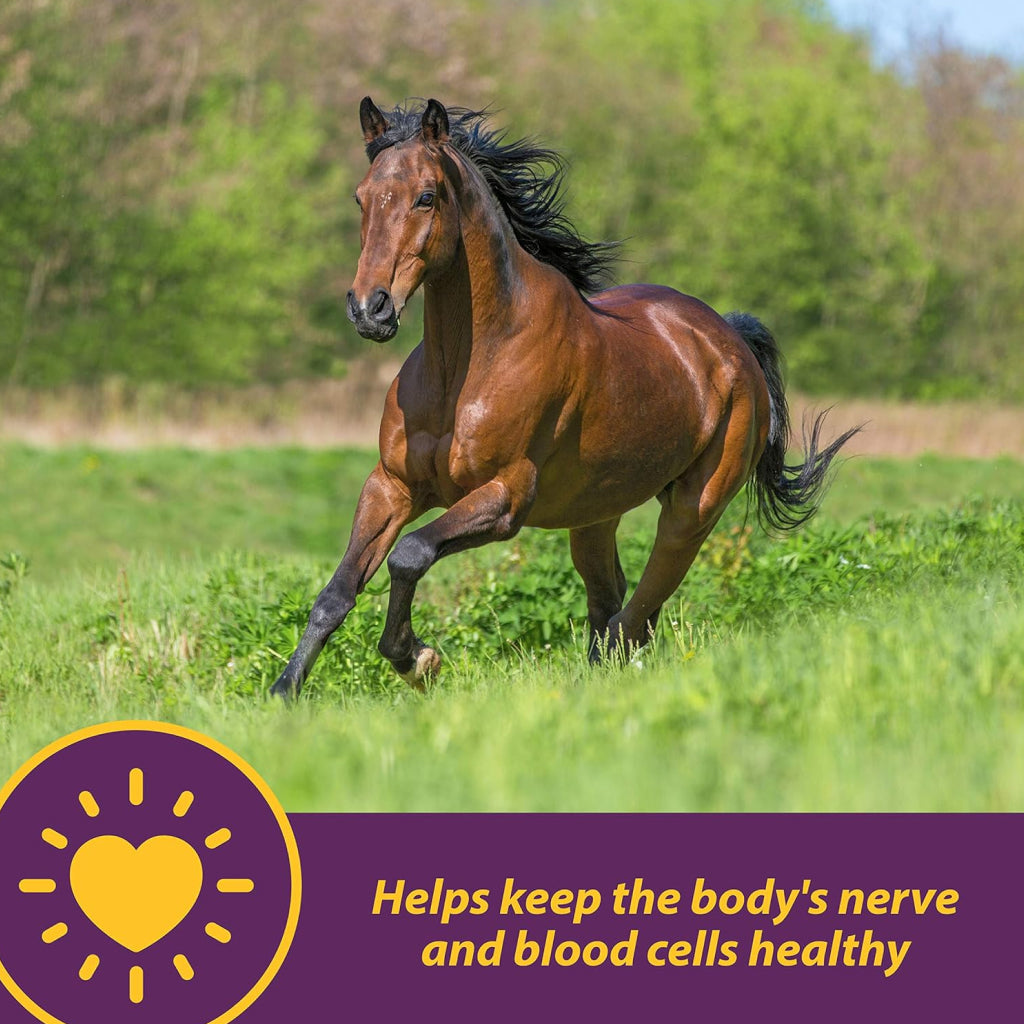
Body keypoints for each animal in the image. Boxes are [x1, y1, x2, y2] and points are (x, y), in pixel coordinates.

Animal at [270, 97, 858, 697]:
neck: (466, 369)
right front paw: (284, 692)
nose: (370, 308)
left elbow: (410, 554)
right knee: (612, 599)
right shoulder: (392, 486)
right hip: (595, 513)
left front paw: (418, 658)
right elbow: (336, 593)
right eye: (361, 197)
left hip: (693, 510)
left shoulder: (506, 497)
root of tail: (731, 339)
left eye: (426, 196)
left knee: (637, 614)